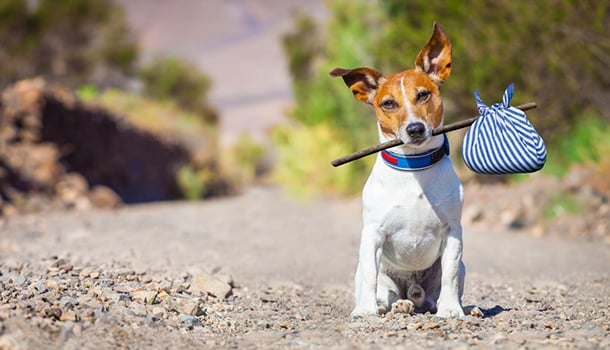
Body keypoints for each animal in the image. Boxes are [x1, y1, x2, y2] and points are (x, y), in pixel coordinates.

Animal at [330, 21, 464, 318]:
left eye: (423, 95)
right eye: (388, 103)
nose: (415, 129)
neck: (414, 168)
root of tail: (411, 289)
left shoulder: (453, 231)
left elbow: (449, 273)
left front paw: (452, 310)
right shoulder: (372, 234)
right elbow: (371, 276)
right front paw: (365, 311)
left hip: (456, 269)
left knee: (433, 296)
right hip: (371, 273)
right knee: (385, 293)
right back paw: (395, 305)